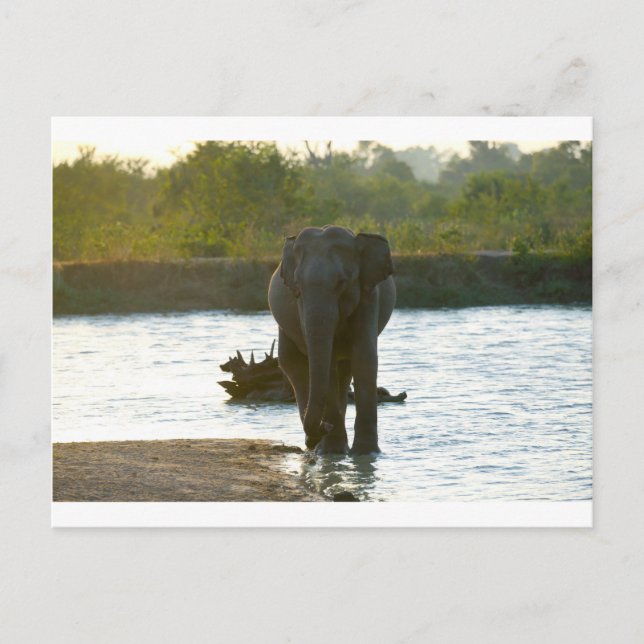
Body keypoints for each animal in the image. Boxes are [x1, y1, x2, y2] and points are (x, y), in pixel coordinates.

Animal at [268, 225, 396, 455]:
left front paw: (366, 453)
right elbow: (325, 362)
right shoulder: (300, 302)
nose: (325, 426)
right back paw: (318, 445)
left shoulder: (369, 293)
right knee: (293, 365)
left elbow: (364, 356)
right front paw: (333, 451)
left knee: (344, 369)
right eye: (298, 285)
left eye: (342, 282)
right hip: (284, 327)